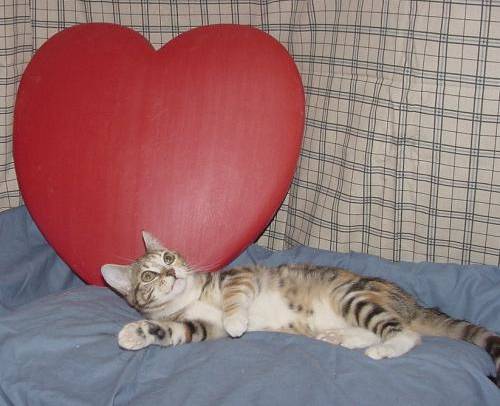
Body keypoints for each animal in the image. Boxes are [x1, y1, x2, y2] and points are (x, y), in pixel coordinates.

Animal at [101, 231, 500, 387]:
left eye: (169, 257)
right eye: (149, 275)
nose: (172, 272)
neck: (190, 297)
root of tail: (411, 302)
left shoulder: (240, 275)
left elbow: (235, 297)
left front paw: (237, 320)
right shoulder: (198, 326)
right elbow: (174, 332)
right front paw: (135, 334)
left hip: (352, 295)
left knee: (408, 334)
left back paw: (383, 348)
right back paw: (342, 339)